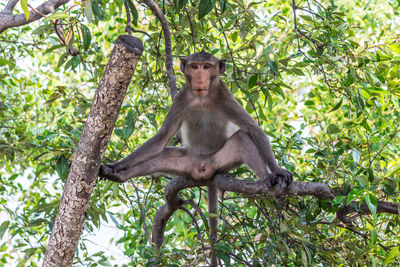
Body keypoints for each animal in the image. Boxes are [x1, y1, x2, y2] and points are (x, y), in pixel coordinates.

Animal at [99, 50, 294, 188]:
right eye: (195, 67)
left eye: (206, 67)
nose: (200, 79)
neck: (202, 98)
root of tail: (201, 167)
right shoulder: (181, 99)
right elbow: (161, 138)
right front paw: (117, 165)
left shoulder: (224, 96)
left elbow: (252, 128)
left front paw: (277, 170)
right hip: (186, 164)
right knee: (160, 155)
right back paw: (119, 175)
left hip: (219, 162)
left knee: (242, 138)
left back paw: (268, 178)